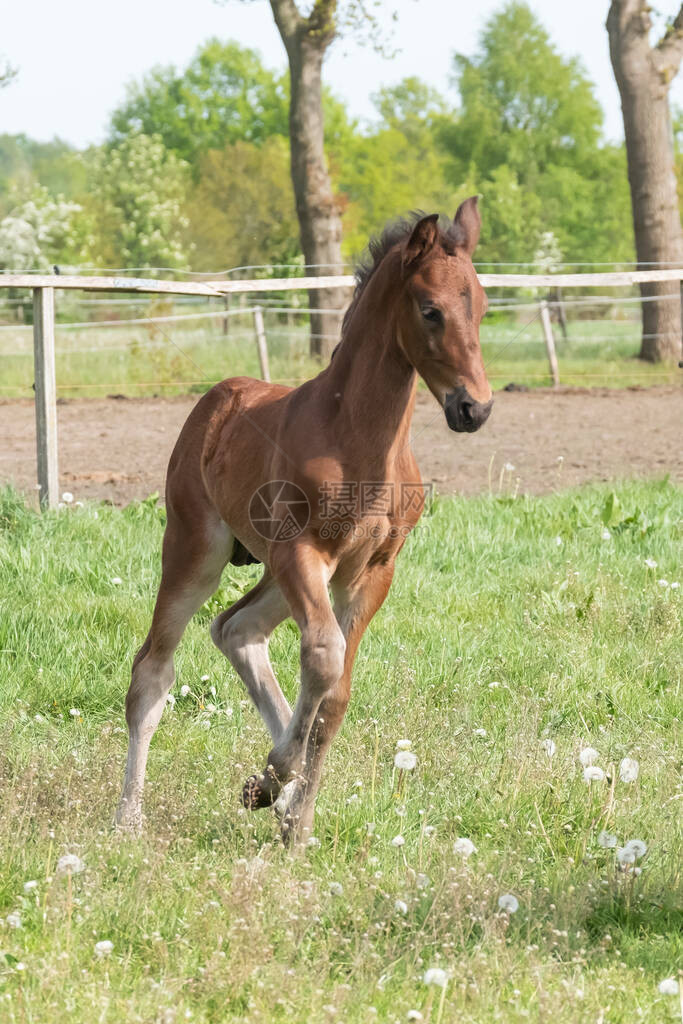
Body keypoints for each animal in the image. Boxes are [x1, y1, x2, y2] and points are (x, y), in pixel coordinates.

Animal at [116, 195, 491, 843]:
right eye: (431, 311)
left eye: (484, 308)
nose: (475, 406)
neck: (358, 439)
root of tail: (217, 398)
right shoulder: (302, 552)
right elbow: (322, 656)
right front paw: (272, 783)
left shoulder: (371, 571)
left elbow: (334, 693)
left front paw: (293, 816)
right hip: (198, 551)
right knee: (153, 670)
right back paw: (129, 817)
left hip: (272, 569)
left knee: (236, 629)